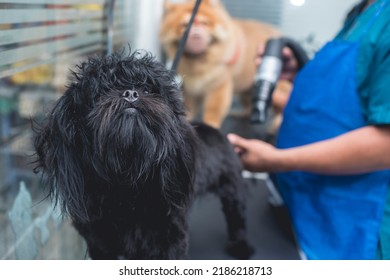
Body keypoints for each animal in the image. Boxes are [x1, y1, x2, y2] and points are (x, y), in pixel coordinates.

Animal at [32, 49, 253, 260]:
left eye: (146, 89)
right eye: (104, 91)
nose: (130, 93)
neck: (127, 183)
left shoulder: (168, 239)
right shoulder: (99, 243)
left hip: (233, 187)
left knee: (237, 217)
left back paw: (241, 245)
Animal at [160, 0, 290, 129]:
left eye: (204, 23)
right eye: (185, 25)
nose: (196, 35)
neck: (199, 61)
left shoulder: (218, 85)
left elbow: (213, 110)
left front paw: (210, 125)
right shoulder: (192, 89)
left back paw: (277, 122)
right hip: (247, 89)